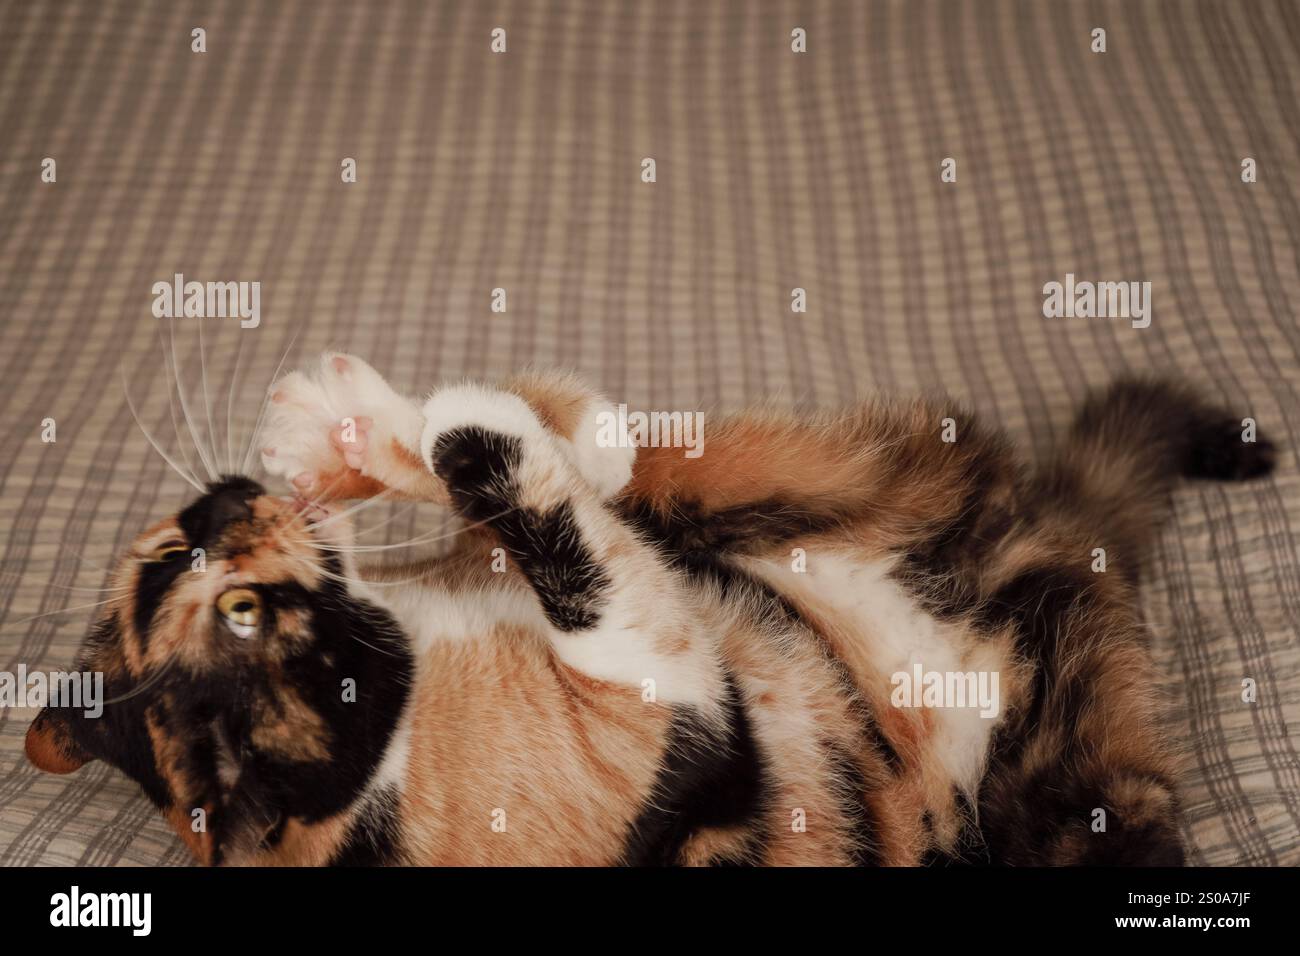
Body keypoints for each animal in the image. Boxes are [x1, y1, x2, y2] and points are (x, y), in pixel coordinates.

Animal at [25, 351, 1274, 868]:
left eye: (169, 554)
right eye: (233, 609)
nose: (221, 504)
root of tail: (1028, 547)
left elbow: (521, 501)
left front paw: (352, 435)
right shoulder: (659, 705)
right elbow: (568, 547)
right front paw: (455, 433)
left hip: (780, 484)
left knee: (655, 468)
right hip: (1076, 793)